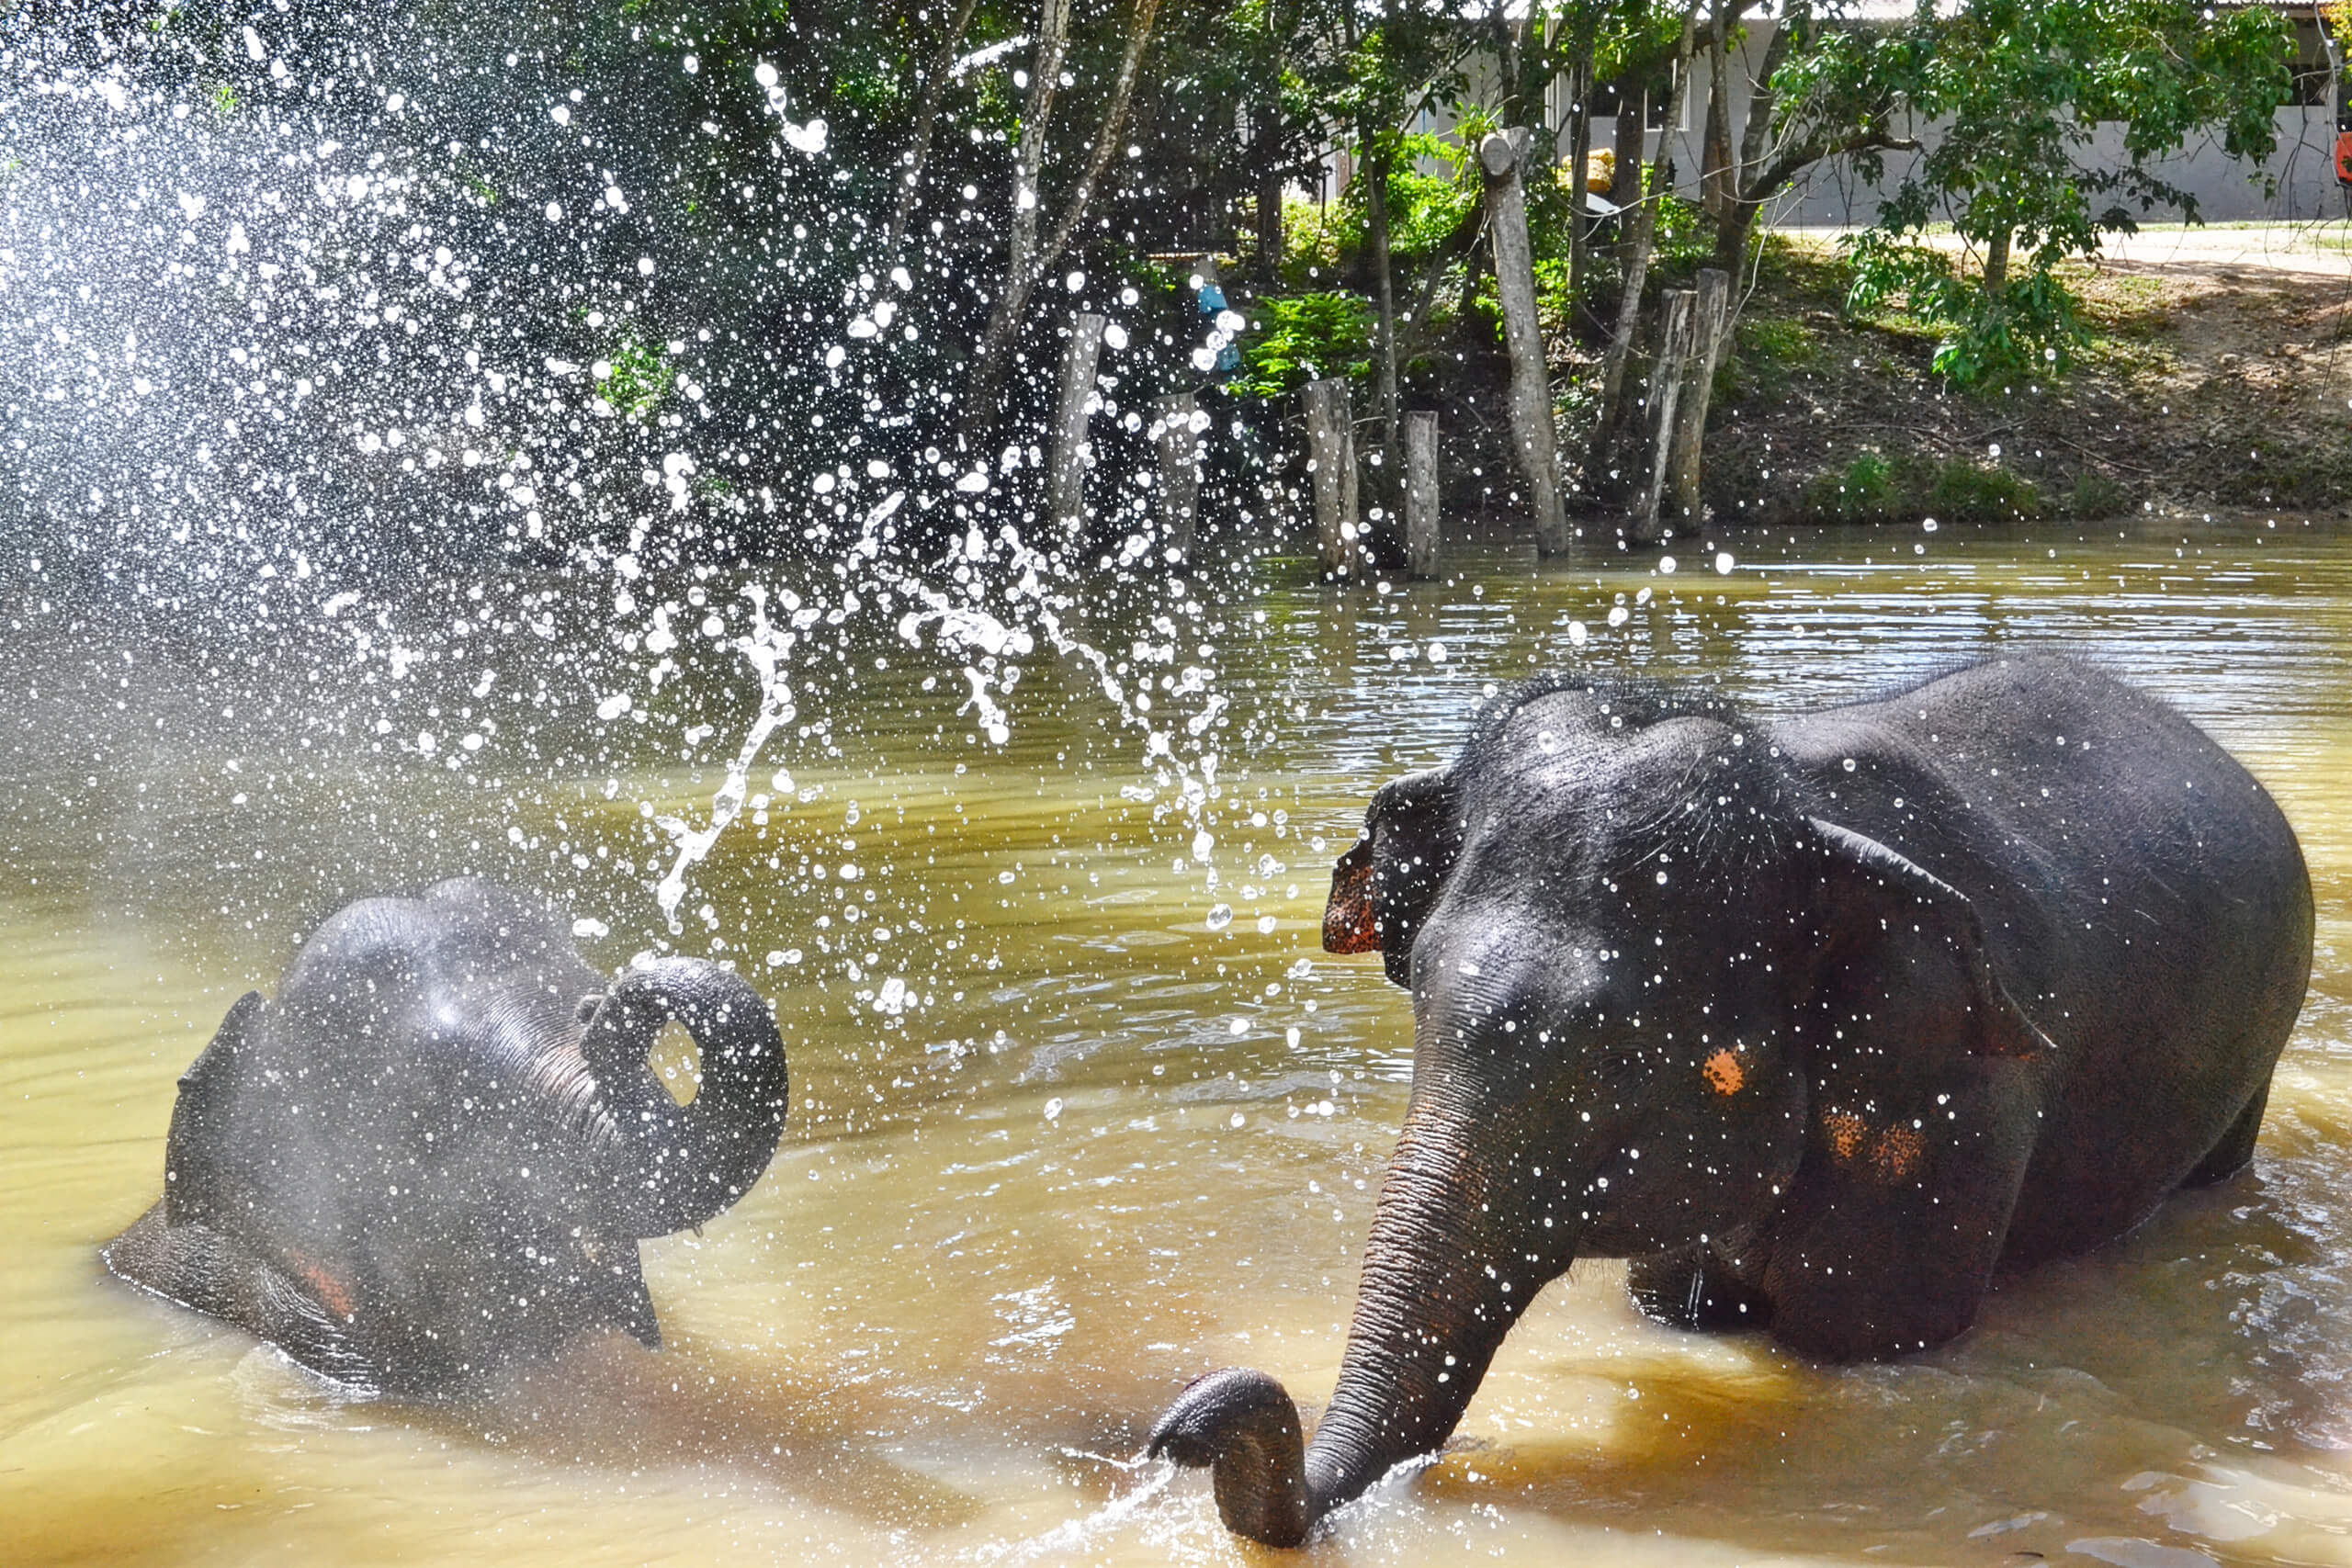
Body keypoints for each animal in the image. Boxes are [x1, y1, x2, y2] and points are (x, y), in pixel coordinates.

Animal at [1151, 653, 2312, 1546]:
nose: (1179, 1431)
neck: (1804, 804)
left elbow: (1861, 1337)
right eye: (1421, 987)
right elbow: (1675, 1305)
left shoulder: (1954, 1096)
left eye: (1619, 1050)